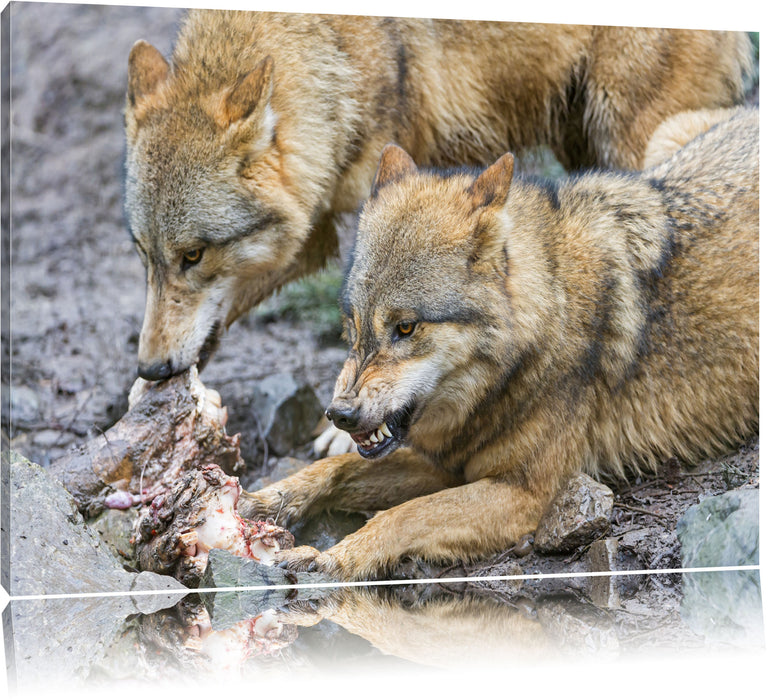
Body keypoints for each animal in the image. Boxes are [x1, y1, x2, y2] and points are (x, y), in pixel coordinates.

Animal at [126, 9, 752, 382]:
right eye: (144, 254)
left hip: (630, 139)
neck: (335, 51)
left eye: (194, 255)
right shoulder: (315, 225)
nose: (150, 370)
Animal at [239, 108, 760, 580]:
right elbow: (338, 470)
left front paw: (335, 558)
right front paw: (268, 499)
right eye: (353, 324)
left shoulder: (522, 493)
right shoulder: (448, 466)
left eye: (406, 328)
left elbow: (406, 514)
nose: (340, 414)